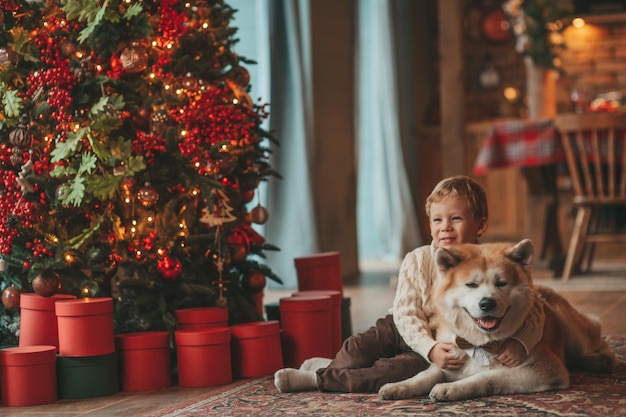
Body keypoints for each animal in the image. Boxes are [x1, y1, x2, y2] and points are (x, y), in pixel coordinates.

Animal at [376, 239, 616, 402]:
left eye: (501, 283)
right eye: (471, 285)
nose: (486, 303)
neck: (481, 343)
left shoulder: (547, 369)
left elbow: (487, 376)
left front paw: (452, 388)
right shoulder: (447, 359)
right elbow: (424, 374)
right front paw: (399, 386)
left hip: (570, 326)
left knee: (595, 341)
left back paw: (601, 360)